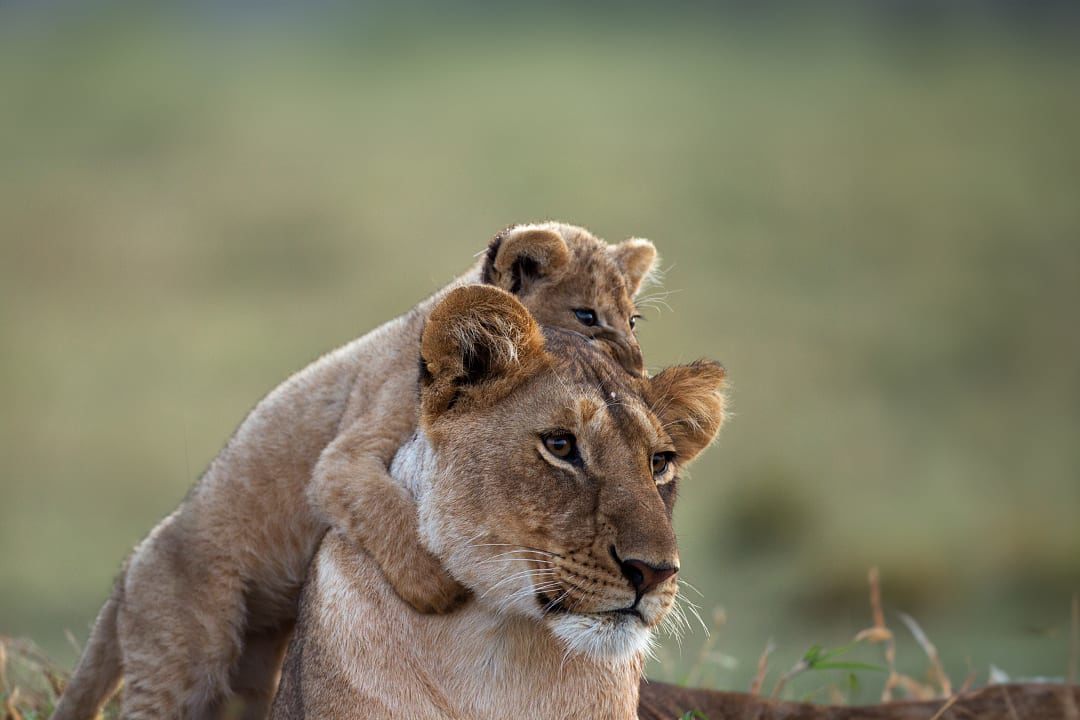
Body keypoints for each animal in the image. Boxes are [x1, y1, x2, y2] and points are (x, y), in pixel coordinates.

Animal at [53, 223, 659, 720]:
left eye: (633, 319)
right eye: (587, 316)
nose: (638, 370)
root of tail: (131, 566)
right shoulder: (346, 453)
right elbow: (386, 510)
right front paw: (437, 590)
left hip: (255, 667)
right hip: (187, 650)